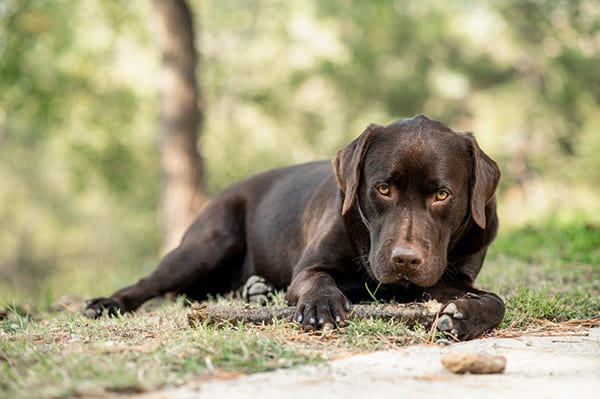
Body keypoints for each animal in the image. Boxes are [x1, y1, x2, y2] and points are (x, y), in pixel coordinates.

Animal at [86, 115, 504, 340]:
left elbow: (496, 301)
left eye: (442, 195)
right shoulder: (310, 267)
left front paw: (465, 316)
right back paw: (106, 304)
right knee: (151, 283)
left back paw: (255, 291)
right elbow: (316, 279)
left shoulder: (452, 279)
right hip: (206, 244)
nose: (405, 260)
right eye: (383, 188)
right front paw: (321, 305)